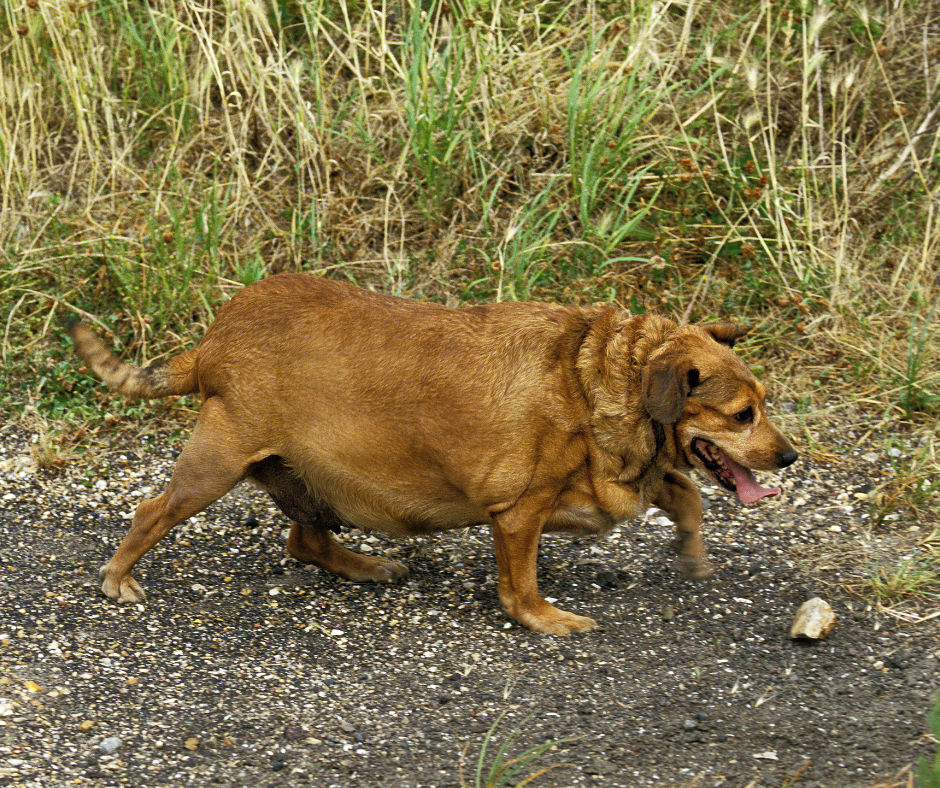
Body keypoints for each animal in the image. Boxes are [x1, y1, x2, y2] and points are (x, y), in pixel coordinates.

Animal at [70, 272, 796, 636]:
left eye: (764, 402)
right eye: (742, 414)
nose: (789, 458)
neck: (611, 372)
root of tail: (214, 340)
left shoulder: (617, 482)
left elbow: (687, 494)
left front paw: (693, 556)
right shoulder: (520, 511)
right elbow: (521, 585)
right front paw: (543, 619)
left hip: (312, 482)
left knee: (304, 541)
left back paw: (363, 565)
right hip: (215, 464)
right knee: (151, 512)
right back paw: (119, 575)